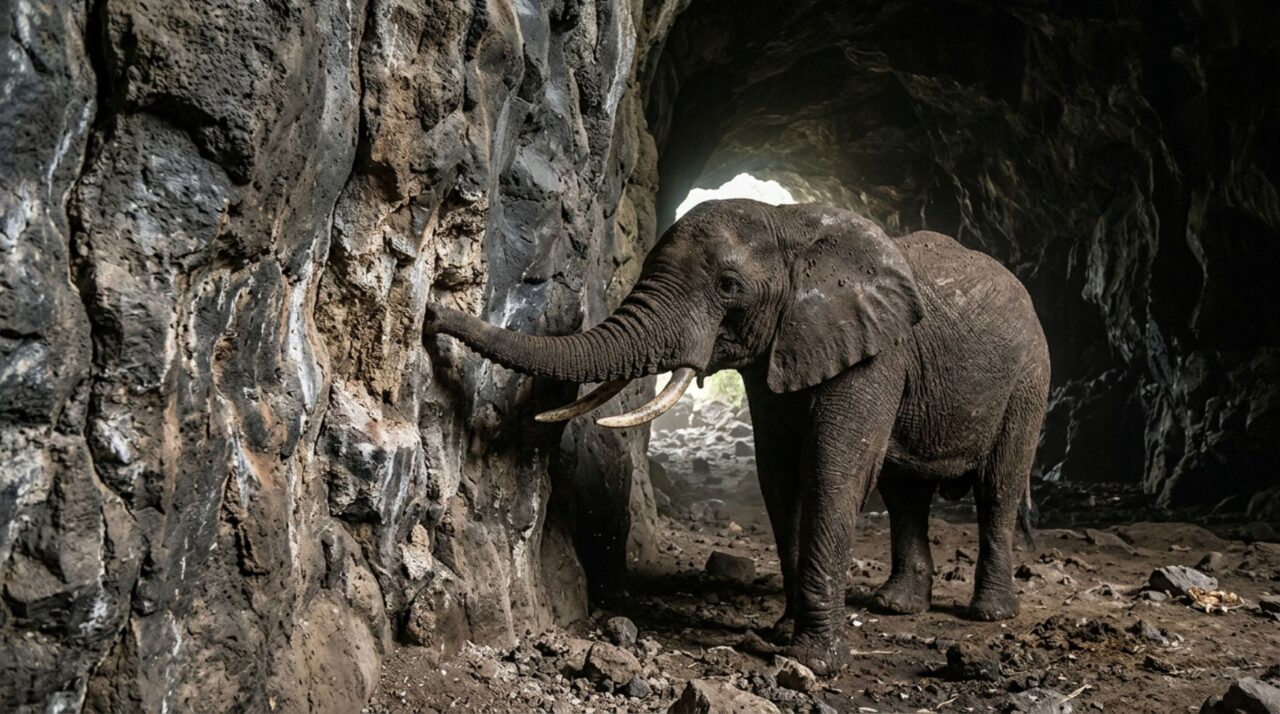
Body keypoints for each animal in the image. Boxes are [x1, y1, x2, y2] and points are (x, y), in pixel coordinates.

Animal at [423, 199, 1050, 675]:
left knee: (997, 488)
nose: (431, 315)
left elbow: (835, 471)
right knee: (905, 494)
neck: (796, 226)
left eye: (729, 286)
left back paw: (988, 615)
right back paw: (897, 607)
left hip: (1030, 380)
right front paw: (783, 632)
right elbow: (778, 475)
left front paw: (813, 662)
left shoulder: (879, 354)